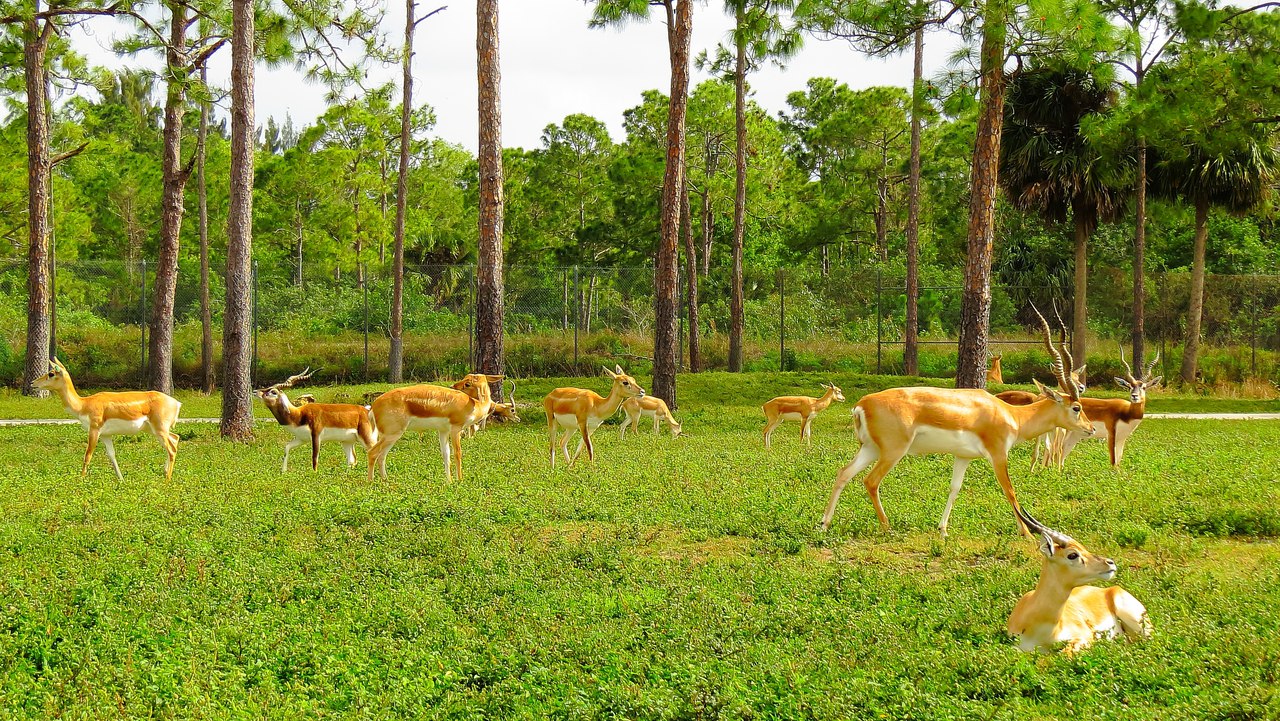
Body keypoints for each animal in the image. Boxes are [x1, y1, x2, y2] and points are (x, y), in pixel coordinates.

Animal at [33, 358, 181, 481]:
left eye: (51, 373)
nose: (33, 383)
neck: (84, 404)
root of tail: (176, 403)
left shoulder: (94, 430)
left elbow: (87, 455)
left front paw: (81, 479)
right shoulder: (106, 435)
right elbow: (111, 455)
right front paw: (121, 479)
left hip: (159, 429)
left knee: (171, 449)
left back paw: (167, 480)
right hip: (153, 430)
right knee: (175, 438)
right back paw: (164, 472)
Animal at [368, 371, 501, 484]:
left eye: (467, 382)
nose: (452, 386)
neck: (475, 405)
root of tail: (373, 407)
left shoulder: (443, 431)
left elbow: (446, 454)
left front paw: (449, 481)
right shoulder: (456, 429)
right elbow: (457, 453)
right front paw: (460, 480)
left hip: (389, 435)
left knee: (382, 455)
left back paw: (385, 480)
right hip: (392, 433)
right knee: (372, 452)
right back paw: (371, 482)